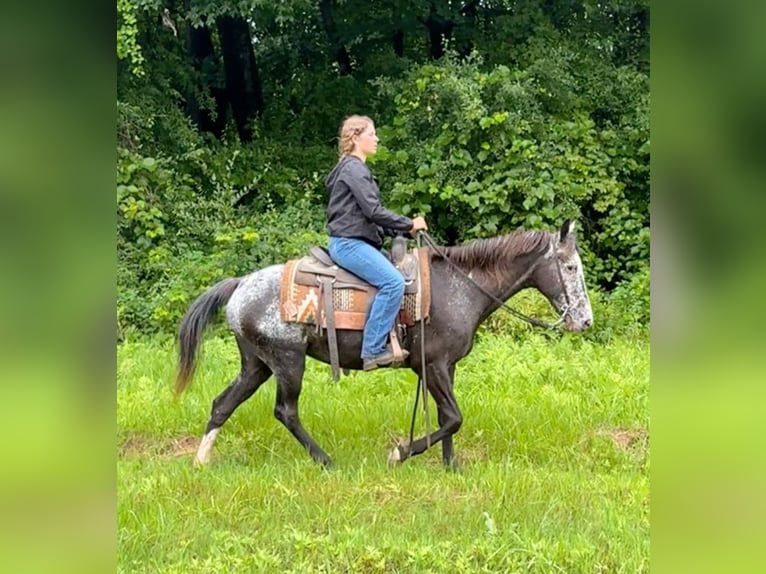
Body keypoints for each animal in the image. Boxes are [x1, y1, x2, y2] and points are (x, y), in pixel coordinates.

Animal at [174, 220, 592, 468]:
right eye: (570, 267)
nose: (585, 320)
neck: (458, 287)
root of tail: (240, 284)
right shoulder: (432, 365)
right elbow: (454, 417)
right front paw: (400, 452)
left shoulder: (446, 366)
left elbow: (449, 419)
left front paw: (450, 466)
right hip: (288, 361)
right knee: (286, 411)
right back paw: (326, 461)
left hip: (257, 363)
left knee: (223, 403)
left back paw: (201, 460)